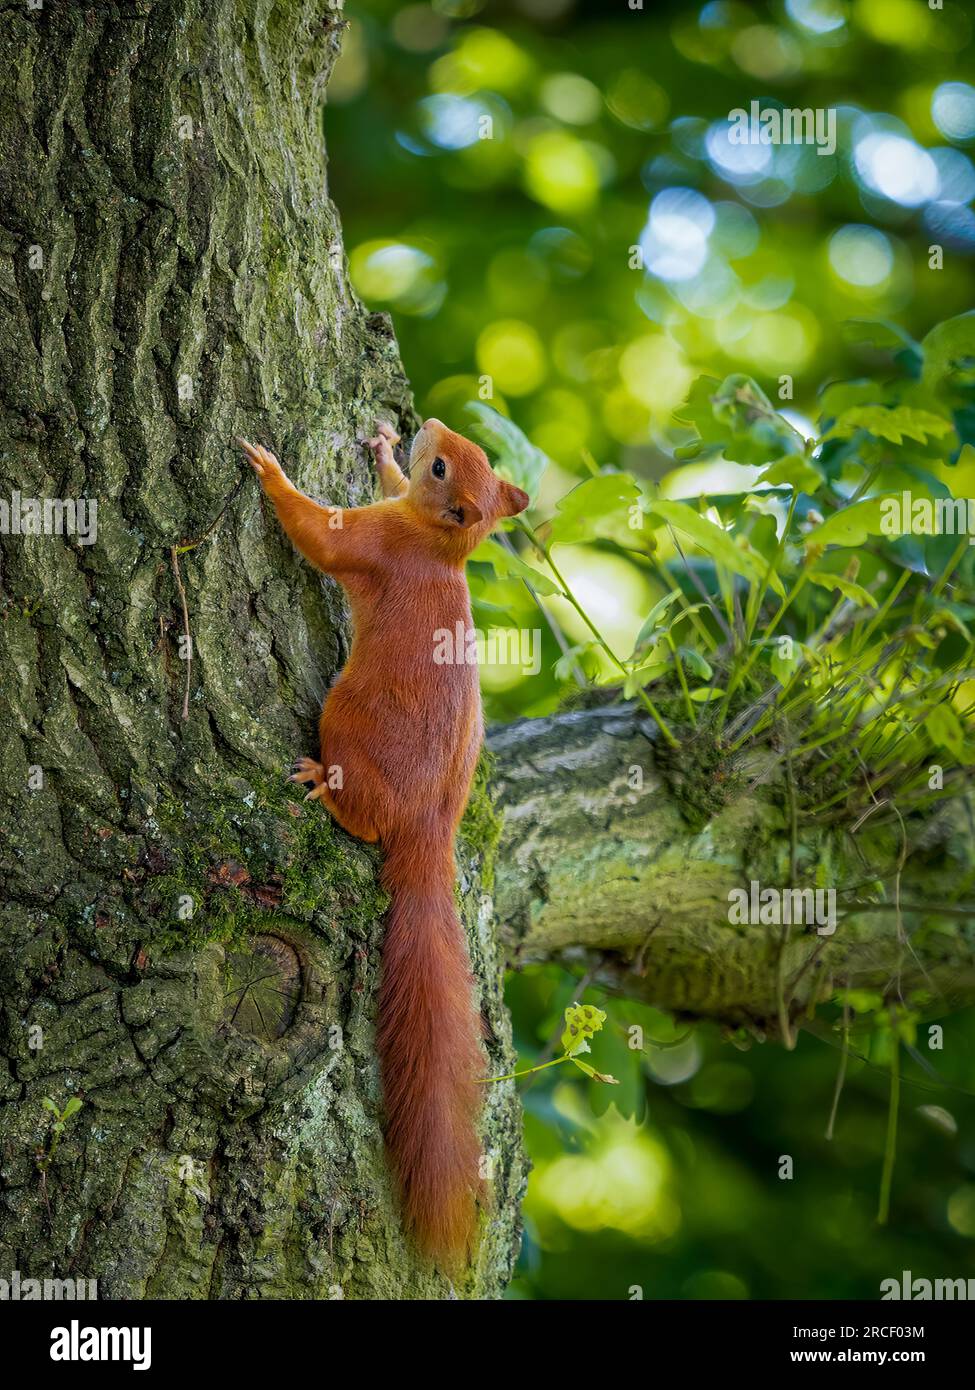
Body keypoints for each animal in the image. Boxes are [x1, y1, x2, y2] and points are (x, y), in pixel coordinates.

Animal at [238, 421, 529, 1265]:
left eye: (443, 470)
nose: (427, 429)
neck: (439, 544)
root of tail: (430, 833)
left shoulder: (376, 542)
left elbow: (321, 536)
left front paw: (272, 473)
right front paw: (379, 447)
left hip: (345, 720)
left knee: (359, 813)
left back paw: (322, 788)